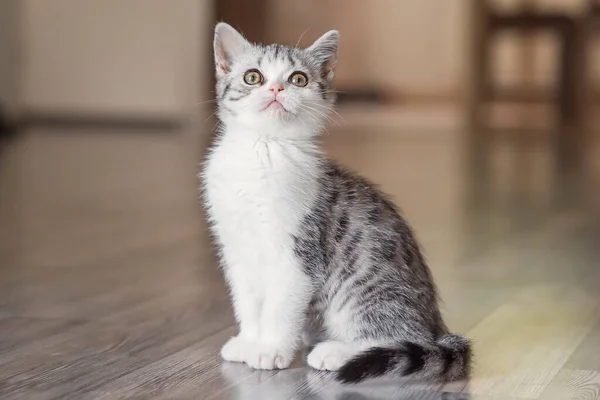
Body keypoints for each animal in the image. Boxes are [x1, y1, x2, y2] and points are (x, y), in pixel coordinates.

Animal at [203, 22, 474, 384]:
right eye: (253, 77)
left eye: (298, 79)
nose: (276, 88)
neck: (264, 148)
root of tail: (436, 326)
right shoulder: (236, 249)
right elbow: (247, 301)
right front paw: (248, 340)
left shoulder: (299, 254)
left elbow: (279, 307)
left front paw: (270, 349)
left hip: (365, 290)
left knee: (401, 336)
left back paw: (337, 352)